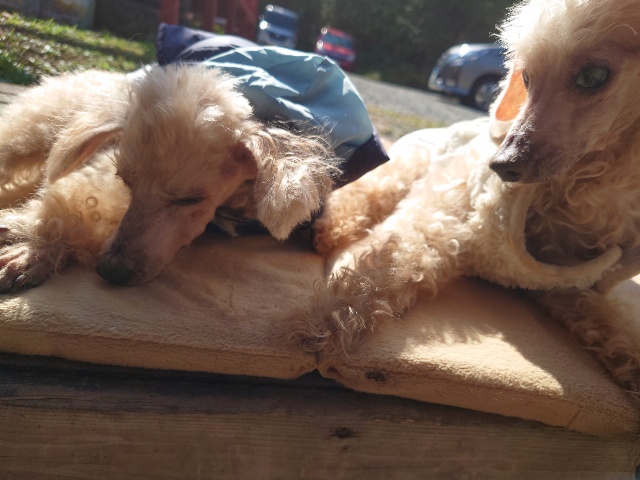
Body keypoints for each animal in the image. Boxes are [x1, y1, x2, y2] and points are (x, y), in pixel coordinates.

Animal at [301, 0, 640, 393]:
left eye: (594, 76)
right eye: (526, 78)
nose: (501, 165)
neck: (584, 182)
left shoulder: (566, 273)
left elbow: (601, 312)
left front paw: (631, 359)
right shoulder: (449, 204)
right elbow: (397, 255)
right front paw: (330, 319)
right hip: (415, 164)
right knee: (371, 188)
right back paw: (333, 226)